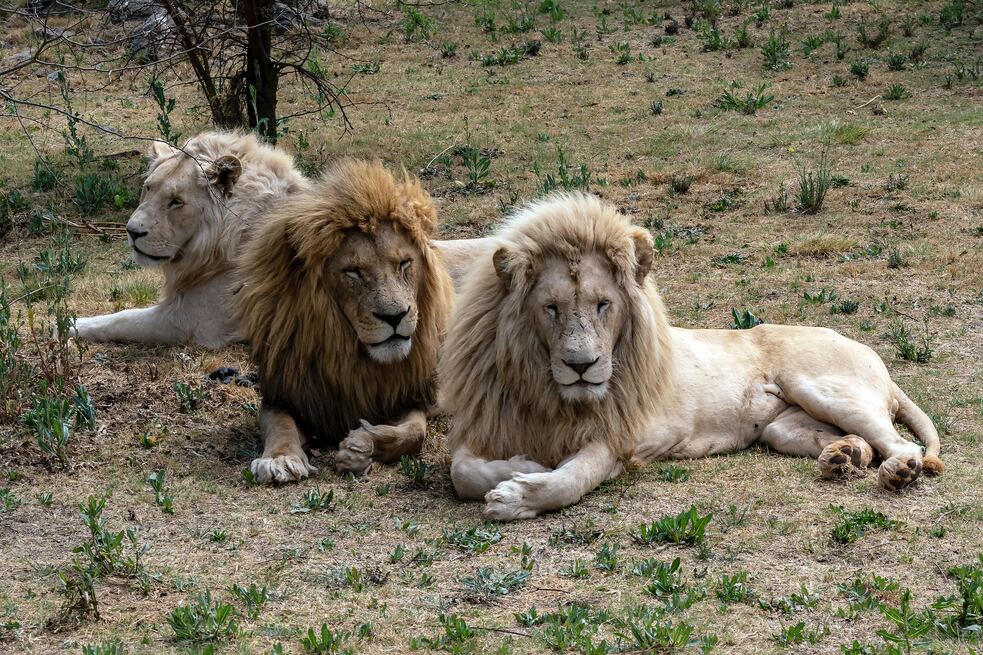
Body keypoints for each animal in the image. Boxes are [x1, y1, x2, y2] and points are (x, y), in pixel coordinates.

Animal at [72, 131, 310, 348]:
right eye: (148, 187)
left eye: (177, 201)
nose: (132, 231)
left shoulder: (194, 321)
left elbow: (122, 318)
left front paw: (69, 325)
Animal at [236, 159, 455, 484]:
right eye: (353, 272)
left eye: (404, 264)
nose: (395, 316)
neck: (353, 360)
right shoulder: (287, 395)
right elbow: (280, 426)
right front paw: (280, 460)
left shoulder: (415, 396)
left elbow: (414, 433)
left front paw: (361, 446)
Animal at [440, 193, 945, 520]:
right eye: (551, 308)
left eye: (603, 305)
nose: (581, 366)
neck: (549, 393)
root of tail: (868, 351)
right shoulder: (488, 422)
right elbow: (462, 472)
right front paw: (524, 465)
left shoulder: (622, 438)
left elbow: (571, 479)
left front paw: (517, 494)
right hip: (783, 429)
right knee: (862, 444)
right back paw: (842, 458)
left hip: (826, 389)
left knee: (903, 446)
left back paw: (898, 473)